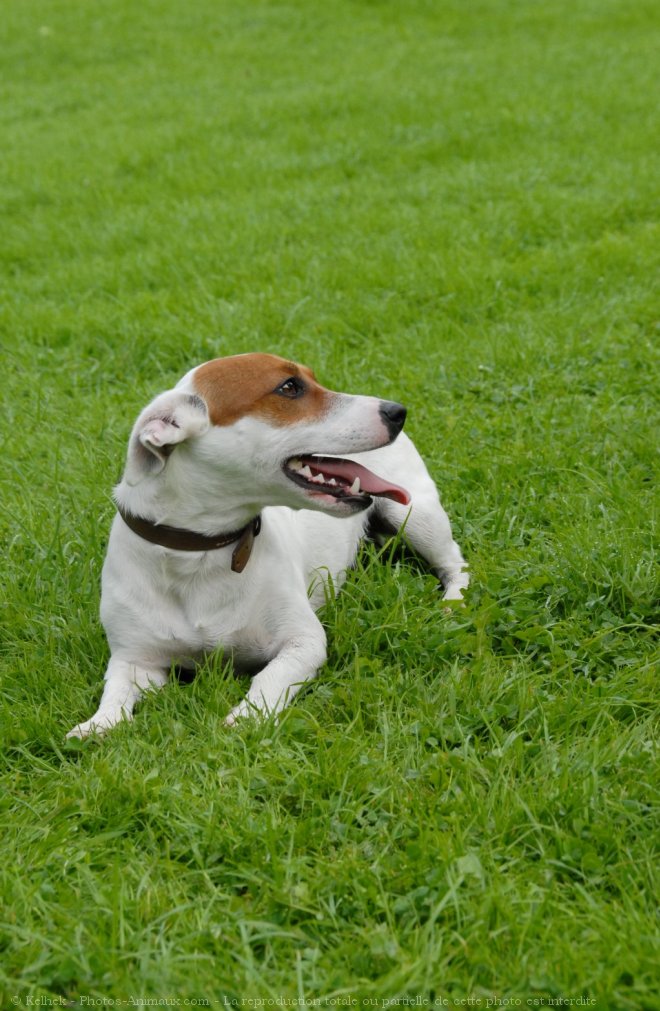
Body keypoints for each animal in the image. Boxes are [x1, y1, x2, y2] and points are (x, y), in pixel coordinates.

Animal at [68, 351, 468, 740]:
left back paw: (452, 602)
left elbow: (268, 678)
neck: (199, 551)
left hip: (415, 514)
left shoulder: (303, 642)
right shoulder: (134, 660)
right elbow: (116, 692)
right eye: (289, 387)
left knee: (455, 563)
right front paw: (99, 724)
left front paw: (247, 717)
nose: (397, 411)